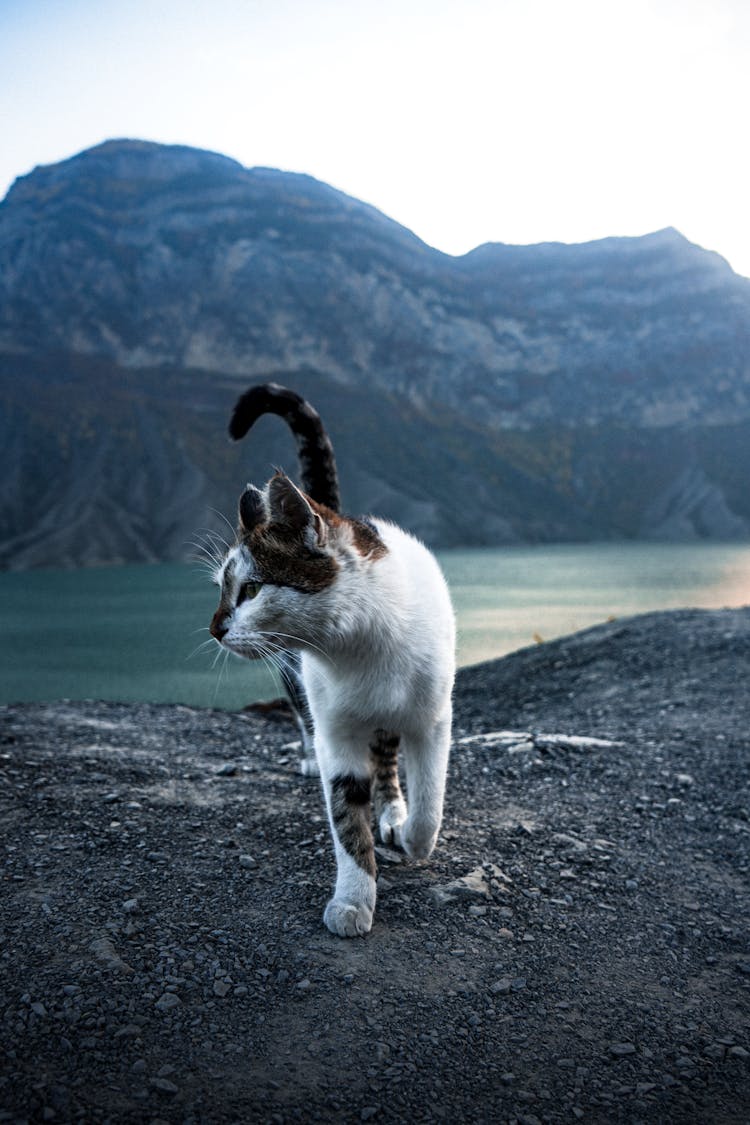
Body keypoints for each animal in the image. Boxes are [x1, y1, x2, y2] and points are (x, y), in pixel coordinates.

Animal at [212, 382, 458, 936]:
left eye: (252, 588)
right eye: (220, 588)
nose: (215, 628)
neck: (359, 648)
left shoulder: (433, 718)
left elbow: (430, 798)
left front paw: (413, 838)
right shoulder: (336, 732)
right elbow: (346, 818)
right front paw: (353, 899)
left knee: (387, 763)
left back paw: (393, 814)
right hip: (293, 678)